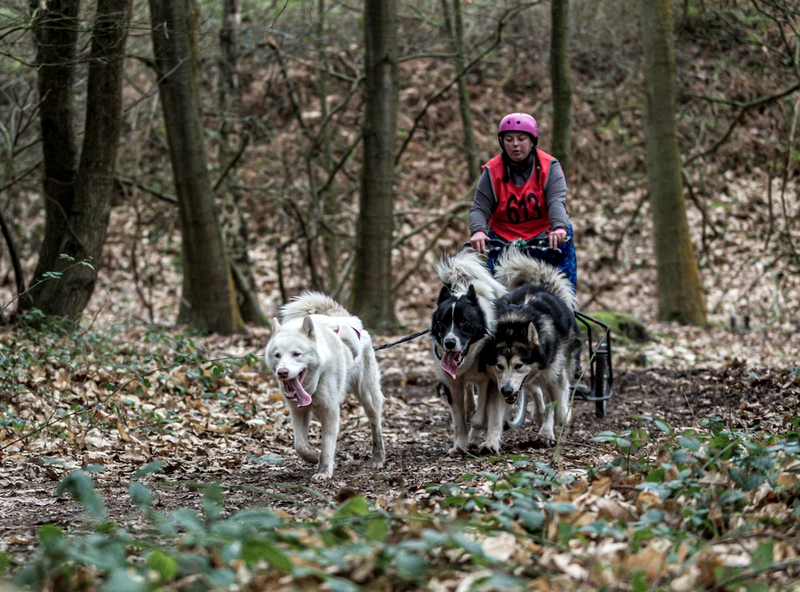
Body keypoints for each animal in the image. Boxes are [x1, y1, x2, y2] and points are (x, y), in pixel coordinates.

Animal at [265, 292, 385, 480]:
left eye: (296, 354)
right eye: (277, 355)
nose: (282, 372)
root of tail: (347, 319)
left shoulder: (330, 411)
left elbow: (327, 443)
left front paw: (324, 470)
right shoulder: (298, 412)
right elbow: (300, 445)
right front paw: (314, 456)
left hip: (367, 396)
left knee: (376, 424)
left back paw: (378, 457)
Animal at [430, 249, 508, 454]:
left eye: (464, 321)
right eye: (442, 322)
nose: (449, 343)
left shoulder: (487, 380)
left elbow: (480, 417)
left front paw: (472, 436)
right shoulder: (451, 383)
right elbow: (458, 418)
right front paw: (459, 445)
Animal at [486, 247, 580, 442]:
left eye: (518, 365)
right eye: (499, 366)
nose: (506, 391)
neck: (514, 324)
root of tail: (541, 287)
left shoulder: (555, 376)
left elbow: (558, 407)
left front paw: (560, 421)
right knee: (536, 389)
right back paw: (539, 416)